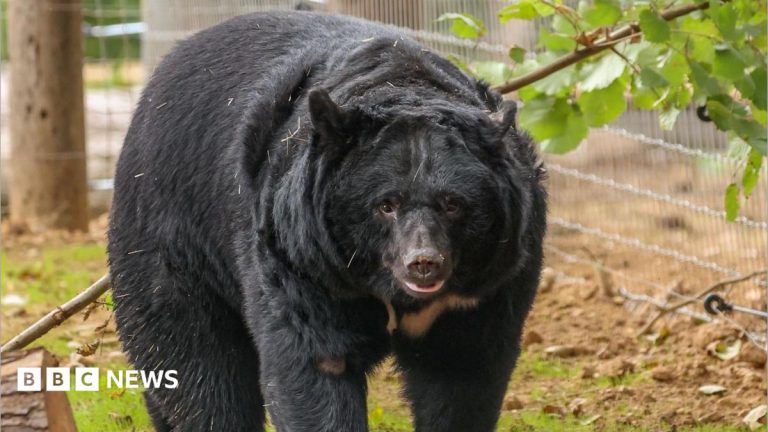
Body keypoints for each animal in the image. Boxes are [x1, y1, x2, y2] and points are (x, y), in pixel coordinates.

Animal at [108, 10, 546, 432]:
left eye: (453, 204)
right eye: (385, 205)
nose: (423, 263)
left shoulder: (490, 283)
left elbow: (464, 374)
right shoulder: (300, 255)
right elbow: (313, 363)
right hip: (170, 238)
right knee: (196, 364)